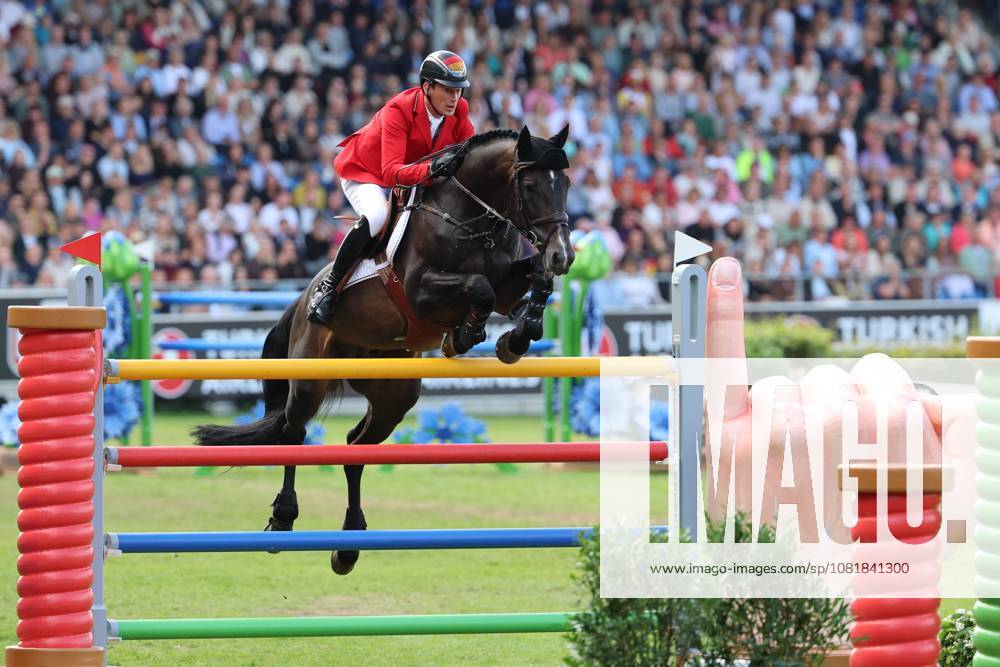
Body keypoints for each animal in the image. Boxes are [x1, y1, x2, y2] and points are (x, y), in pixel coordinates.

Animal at [193, 124, 575, 575]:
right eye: (530, 186)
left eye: (566, 184)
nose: (564, 255)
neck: (470, 218)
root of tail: (302, 298)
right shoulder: (422, 289)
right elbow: (478, 287)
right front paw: (464, 335)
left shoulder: (507, 287)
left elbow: (535, 279)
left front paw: (515, 338)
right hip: (309, 379)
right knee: (293, 431)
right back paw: (283, 519)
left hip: (393, 396)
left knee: (354, 449)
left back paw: (348, 546)